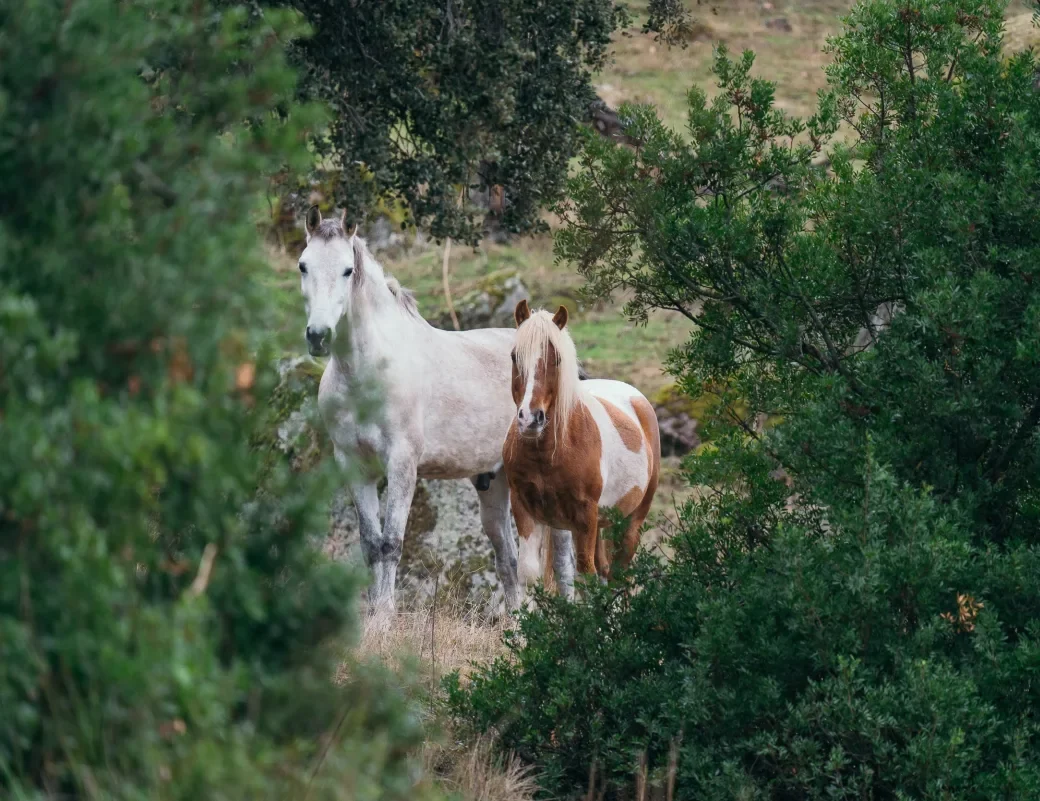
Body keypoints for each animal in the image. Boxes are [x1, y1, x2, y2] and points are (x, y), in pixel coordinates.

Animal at [296, 205, 533, 617]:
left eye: (347, 270)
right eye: (303, 265)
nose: (318, 336)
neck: (367, 375)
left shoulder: (402, 463)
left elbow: (391, 542)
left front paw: (384, 620)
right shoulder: (354, 465)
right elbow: (371, 545)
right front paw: (374, 616)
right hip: (494, 483)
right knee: (508, 557)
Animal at [504, 300, 661, 597]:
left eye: (556, 359)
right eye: (514, 356)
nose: (530, 419)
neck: (550, 454)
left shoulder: (585, 516)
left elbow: (585, 578)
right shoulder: (524, 508)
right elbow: (529, 575)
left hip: (631, 521)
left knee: (618, 575)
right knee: (606, 571)